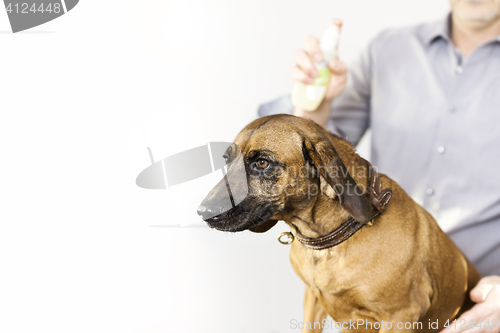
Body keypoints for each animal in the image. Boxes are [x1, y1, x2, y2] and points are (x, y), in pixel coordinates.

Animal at [196, 115, 480, 332]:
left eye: (262, 163)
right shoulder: (312, 299)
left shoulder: (400, 316)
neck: (329, 243)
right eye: (227, 160)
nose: (202, 212)